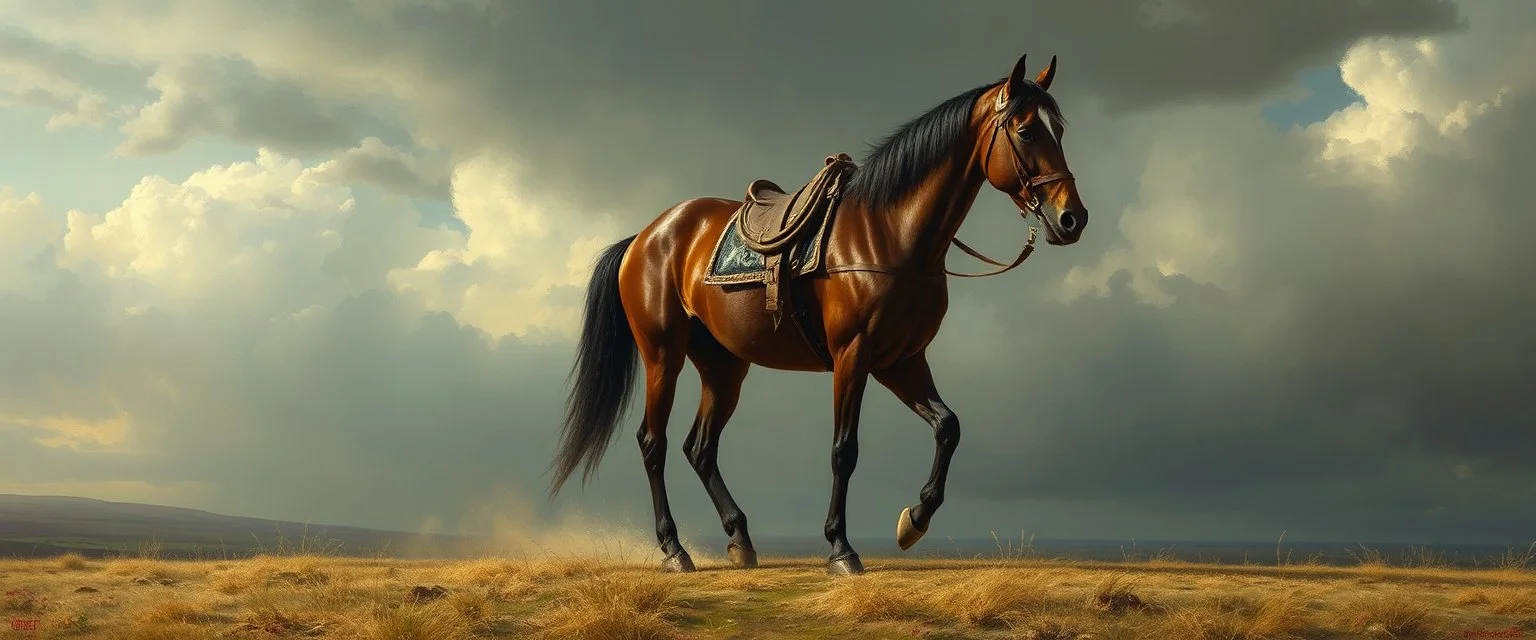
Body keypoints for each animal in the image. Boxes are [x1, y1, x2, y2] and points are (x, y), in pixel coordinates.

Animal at [548, 53, 1088, 576]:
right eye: (1026, 130)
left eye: (1059, 129)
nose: (1072, 219)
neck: (887, 233)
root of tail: (645, 237)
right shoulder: (853, 356)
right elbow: (844, 451)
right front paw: (841, 548)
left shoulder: (902, 360)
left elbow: (947, 426)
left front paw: (913, 521)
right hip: (663, 355)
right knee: (653, 444)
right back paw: (674, 549)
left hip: (724, 367)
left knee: (699, 448)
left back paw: (740, 539)